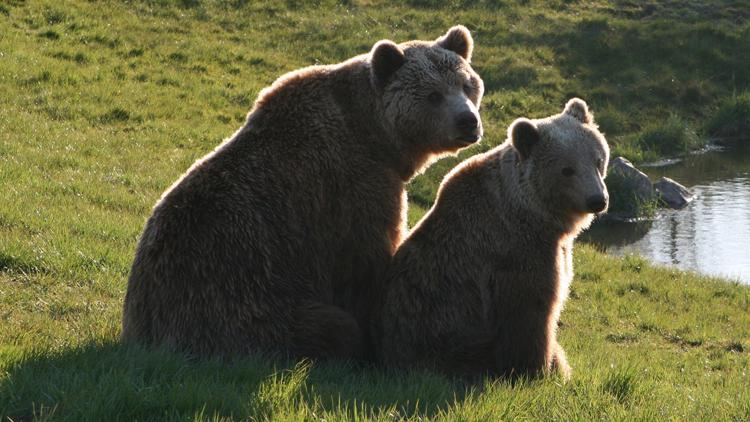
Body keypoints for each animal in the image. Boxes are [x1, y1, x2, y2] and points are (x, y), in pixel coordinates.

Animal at [122, 25, 488, 360]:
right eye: (433, 94)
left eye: (466, 85)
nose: (467, 121)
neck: (376, 137)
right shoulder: (355, 187)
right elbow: (365, 264)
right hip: (245, 304)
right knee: (329, 326)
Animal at [376, 98, 612, 380]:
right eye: (567, 169)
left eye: (598, 160)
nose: (598, 200)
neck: (536, 214)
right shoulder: (517, 252)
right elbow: (529, 314)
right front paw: (540, 370)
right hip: (452, 345)